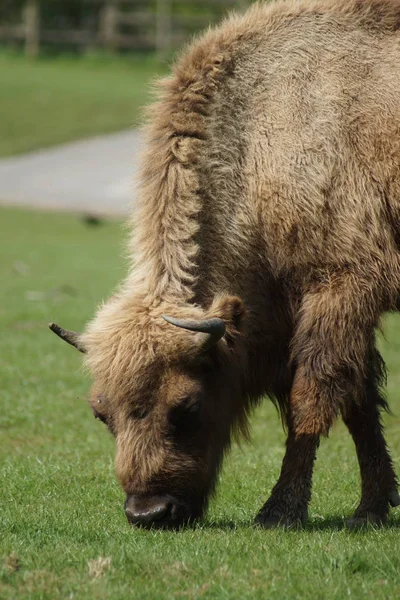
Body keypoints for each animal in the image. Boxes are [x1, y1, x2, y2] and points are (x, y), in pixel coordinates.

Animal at [50, 0, 400, 528]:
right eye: (100, 413)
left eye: (187, 407)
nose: (148, 512)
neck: (257, 139)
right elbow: (358, 402)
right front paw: (373, 507)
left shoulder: (341, 287)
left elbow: (313, 397)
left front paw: (280, 511)